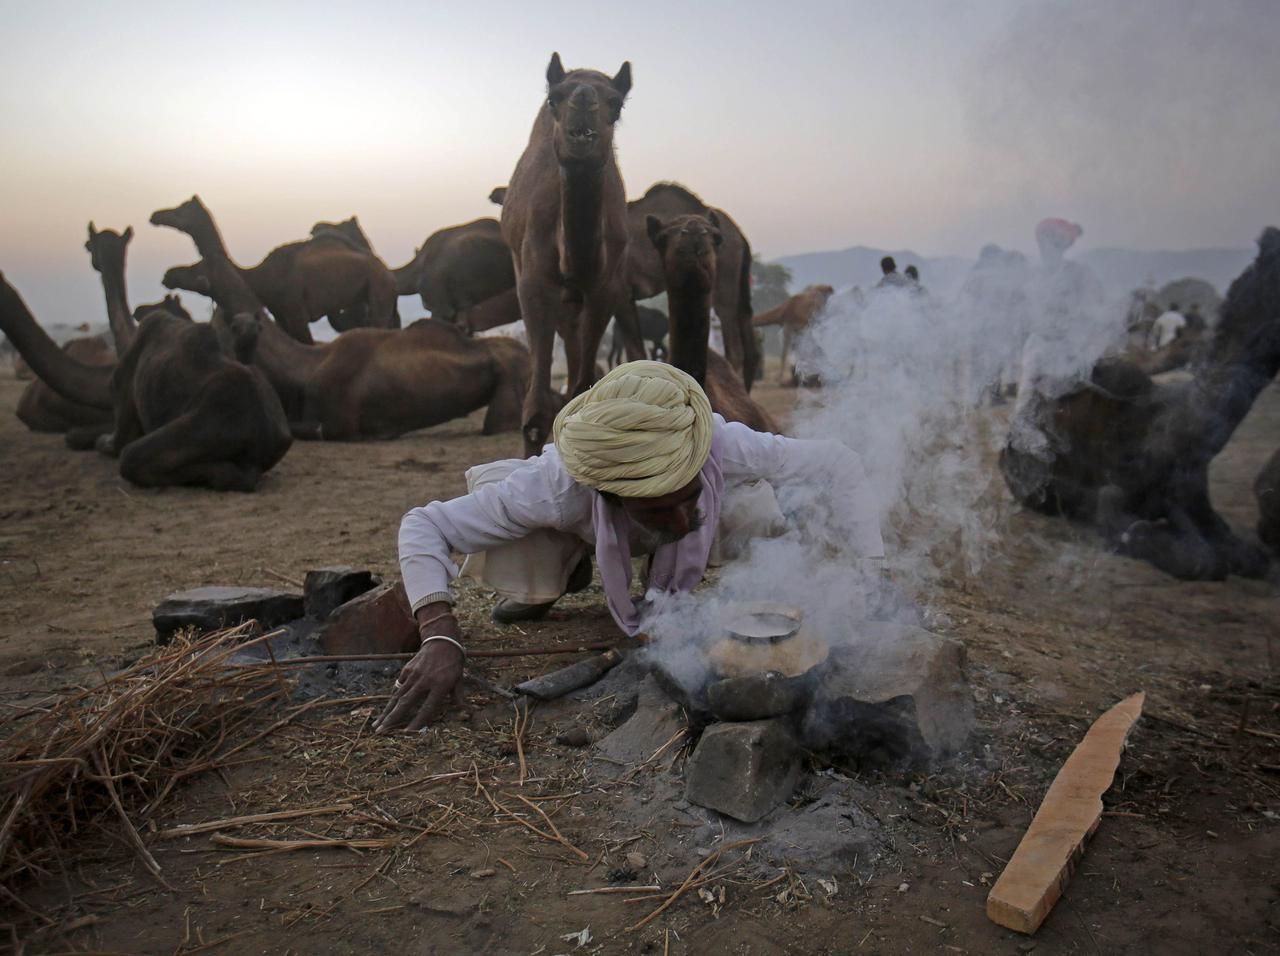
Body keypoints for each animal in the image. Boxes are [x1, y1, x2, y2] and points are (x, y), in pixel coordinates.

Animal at [147, 195, 394, 342]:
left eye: (181, 210)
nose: (155, 215)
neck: (259, 276)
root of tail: (386, 269)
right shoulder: (280, 313)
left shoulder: (296, 310)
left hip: (379, 287)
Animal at [163, 259, 529, 442]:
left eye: (195, 267)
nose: (169, 275)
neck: (308, 366)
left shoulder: (341, 422)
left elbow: (317, 430)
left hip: (510, 377)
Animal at [499, 52, 629, 455]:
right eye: (554, 98)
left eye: (615, 103)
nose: (583, 98)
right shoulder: (533, 282)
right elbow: (536, 411)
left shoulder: (606, 286)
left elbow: (583, 390)